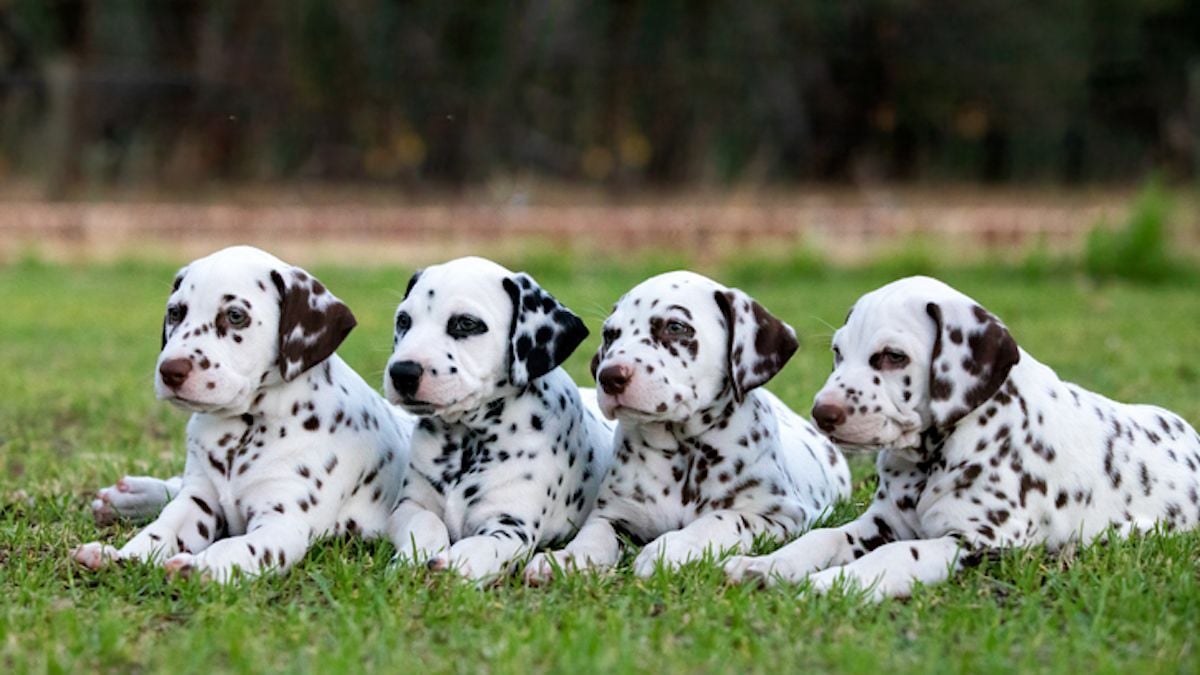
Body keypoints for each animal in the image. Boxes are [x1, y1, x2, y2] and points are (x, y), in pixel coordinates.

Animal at [75, 246, 415, 578]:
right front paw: (121, 555)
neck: (245, 429)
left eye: (235, 316)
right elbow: (162, 528)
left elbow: (236, 548)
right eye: (175, 313)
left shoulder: (282, 523)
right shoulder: (198, 500)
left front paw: (199, 567)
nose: (170, 371)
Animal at [381, 254, 614, 581]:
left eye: (466, 323)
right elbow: (427, 523)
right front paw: (412, 558)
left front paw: (456, 564)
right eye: (404, 320)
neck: (467, 440)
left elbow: (483, 546)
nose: (402, 372)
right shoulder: (411, 505)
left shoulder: (511, 527)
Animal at [525, 267, 854, 578]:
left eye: (675, 327)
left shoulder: (780, 514)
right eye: (610, 335)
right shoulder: (613, 514)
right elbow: (592, 535)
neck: (684, 452)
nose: (609, 376)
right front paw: (566, 558)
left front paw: (671, 547)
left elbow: (721, 519)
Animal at [720, 276, 1200, 595]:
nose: (823, 413)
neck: (935, 456)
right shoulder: (882, 522)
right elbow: (823, 536)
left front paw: (834, 583)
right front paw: (767, 564)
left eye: (893, 357)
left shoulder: (978, 542)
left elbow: (897, 555)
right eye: (838, 352)